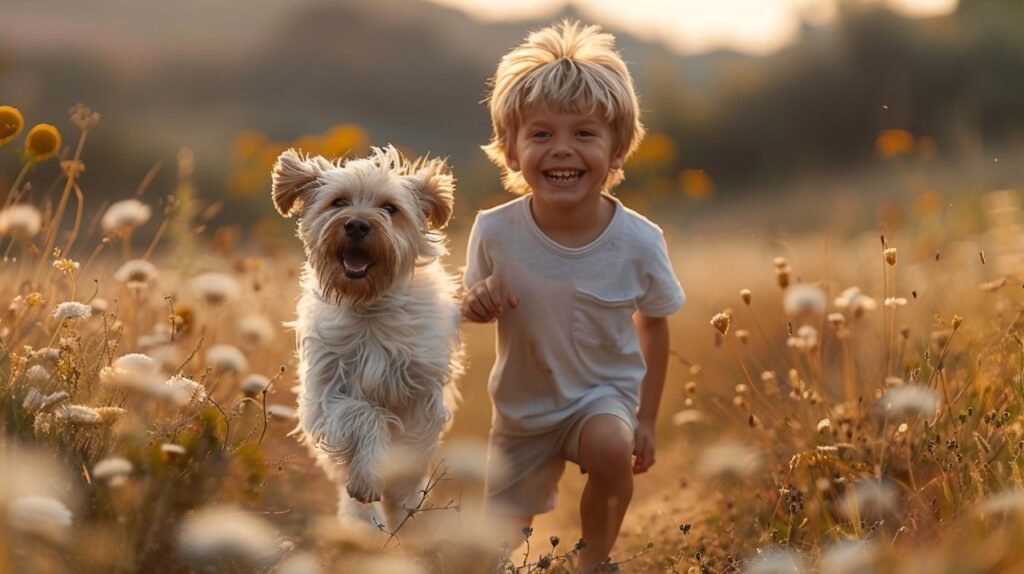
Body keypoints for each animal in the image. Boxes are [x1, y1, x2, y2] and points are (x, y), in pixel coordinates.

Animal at [272, 144, 464, 527]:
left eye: (390, 208)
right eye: (339, 202)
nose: (358, 224)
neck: (369, 306)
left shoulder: (421, 392)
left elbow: (411, 445)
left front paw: (399, 490)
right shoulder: (328, 392)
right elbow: (364, 415)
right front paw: (366, 479)